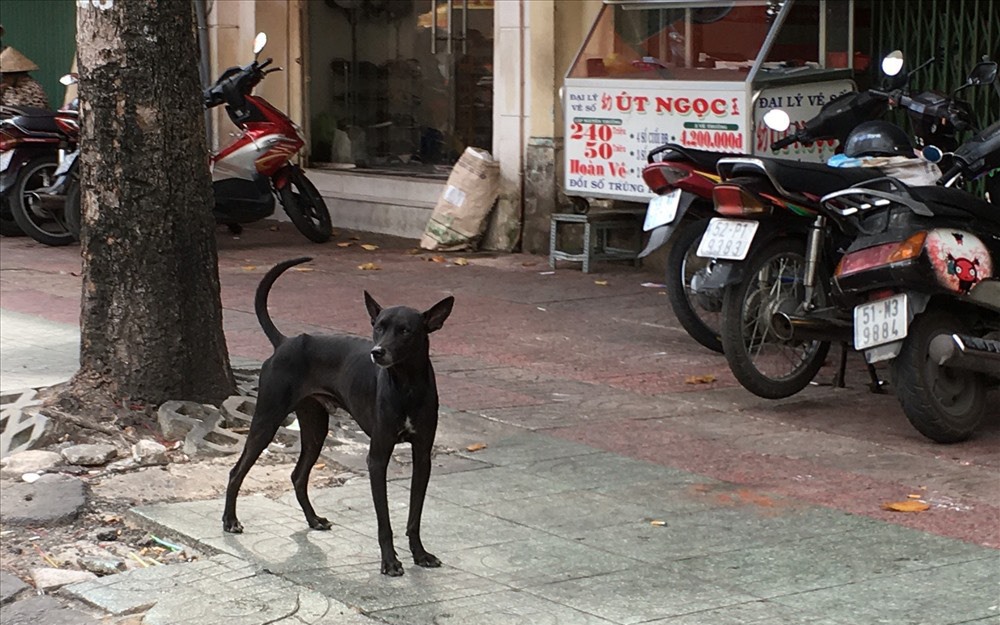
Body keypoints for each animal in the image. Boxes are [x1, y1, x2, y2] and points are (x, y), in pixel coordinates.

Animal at [225, 258, 456, 576]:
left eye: (405, 331)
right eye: (378, 327)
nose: (377, 352)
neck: (406, 385)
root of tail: (284, 342)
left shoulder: (423, 457)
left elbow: (415, 515)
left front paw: (420, 554)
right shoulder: (377, 458)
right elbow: (384, 520)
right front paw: (390, 561)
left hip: (315, 429)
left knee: (298, 475)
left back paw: (313, 519)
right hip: (266, 421)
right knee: (237, 471)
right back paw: (230, 521)